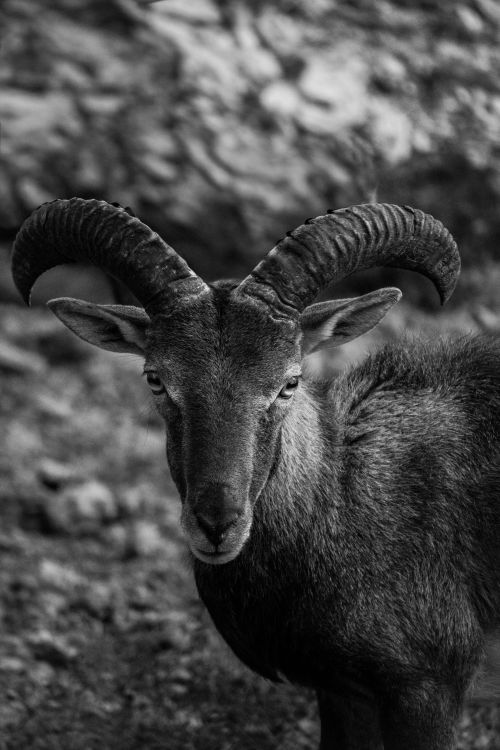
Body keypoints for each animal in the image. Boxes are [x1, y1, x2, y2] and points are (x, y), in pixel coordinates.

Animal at [11, 198, 500, 749]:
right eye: (156, 378)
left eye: (290, 381)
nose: (217, 523)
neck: (347, 499)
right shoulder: (344, 693)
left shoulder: (429, 687)